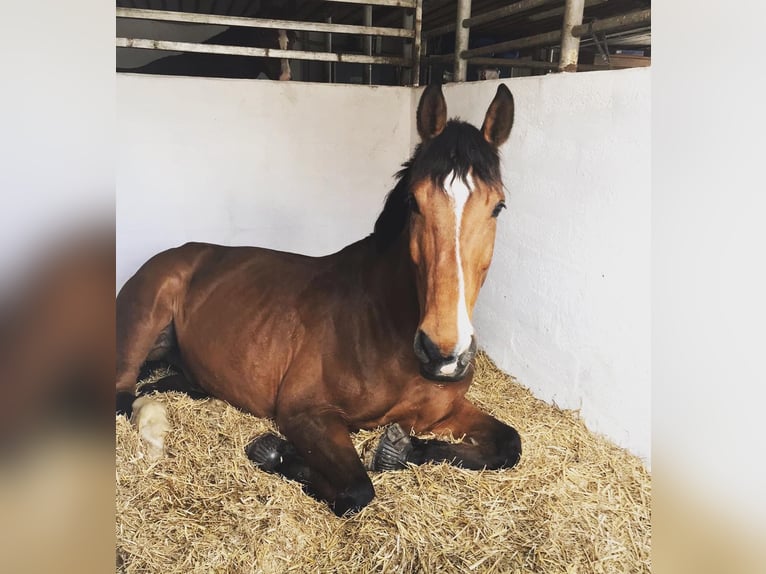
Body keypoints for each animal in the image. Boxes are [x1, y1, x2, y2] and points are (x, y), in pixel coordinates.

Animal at [116, 83, 521, 517]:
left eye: (498, 206)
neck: (381, 321)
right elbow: (355, 490)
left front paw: (402, 450)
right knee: (124, 395)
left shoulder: (446, 412)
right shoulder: (306, 413)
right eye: (414, 202)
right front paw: (273, 451)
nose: (443, 355)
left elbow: (509, 445)